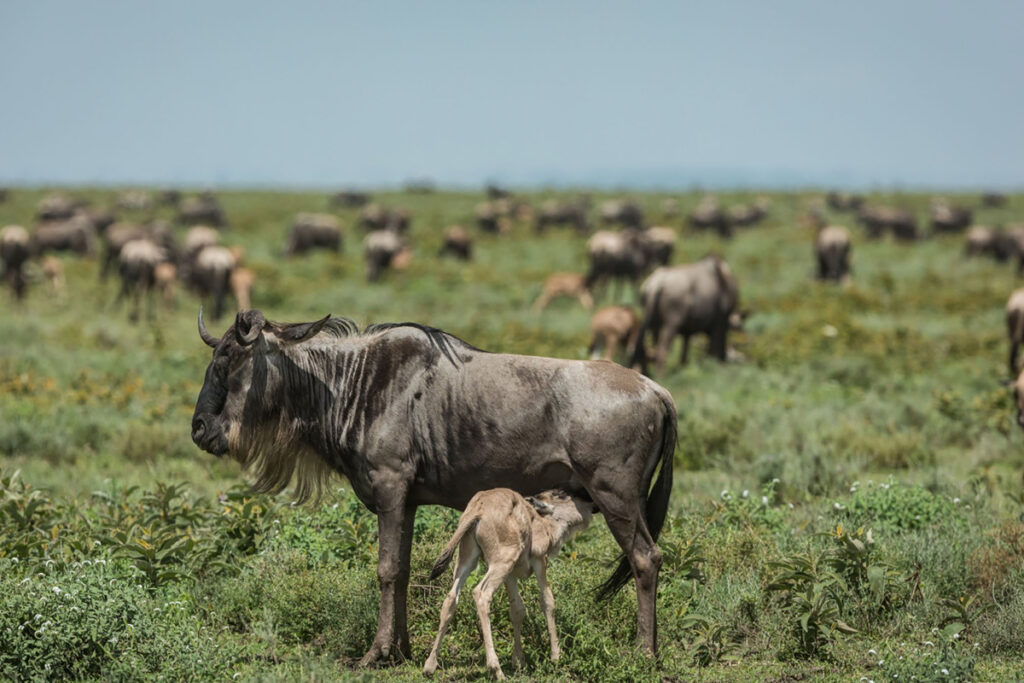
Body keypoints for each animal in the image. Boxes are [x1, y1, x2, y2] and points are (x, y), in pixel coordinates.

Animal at [421, 489, 598, 679]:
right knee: (481, 593)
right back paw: (496, 669)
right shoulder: (539, 560)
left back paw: (429, 666)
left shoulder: (511, 574)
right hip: (502, 560)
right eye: (562, 495)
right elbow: (547, 600)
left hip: (467, 558)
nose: (591, 505)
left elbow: (517, 609)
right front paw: (556, 657)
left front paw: (518, 661)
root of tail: (477, 509)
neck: (543, 523)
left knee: (451, 598)